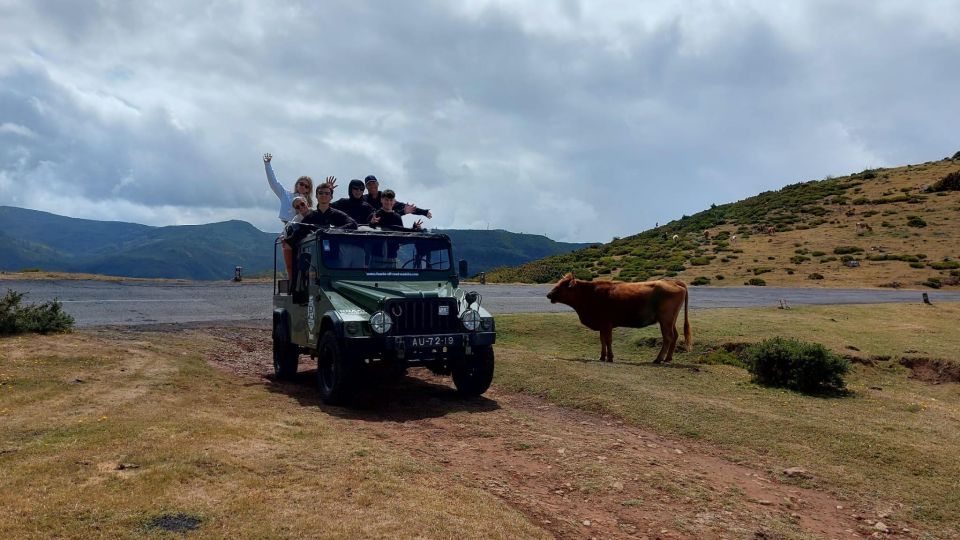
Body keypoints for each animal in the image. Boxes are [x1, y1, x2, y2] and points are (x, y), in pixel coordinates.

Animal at [548, 274, 688, 362]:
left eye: (561, 286)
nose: (548, 294)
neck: (589, 294)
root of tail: (672, 281)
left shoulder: (607, 324)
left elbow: (608, 340)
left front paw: (610, 357)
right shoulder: (602, 325)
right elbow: (602, 340)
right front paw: (602, 357)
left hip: (665, 319)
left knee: (668, 337)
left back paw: (658, 359)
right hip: (671, 320)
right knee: (675, 336)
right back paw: (668, 358)